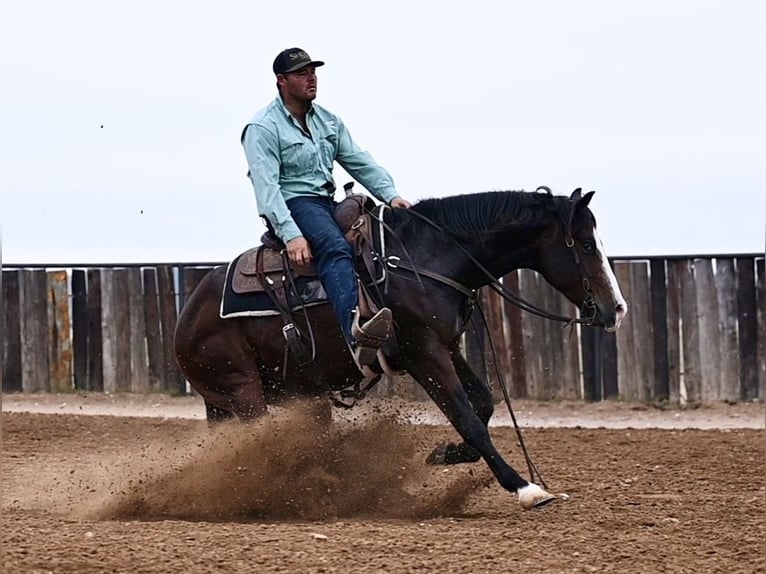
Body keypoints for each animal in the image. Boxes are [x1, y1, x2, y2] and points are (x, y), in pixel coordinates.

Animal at [174, 187, 627, 509]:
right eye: (586, 245)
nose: (618, 309)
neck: (429, 258)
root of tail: (186, 318)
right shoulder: (422, 353)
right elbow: (468, 418)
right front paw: (525, 488)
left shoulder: (446, 346)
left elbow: (483, 403)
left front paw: (445, 454)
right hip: (243, 389)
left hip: (287, 394)